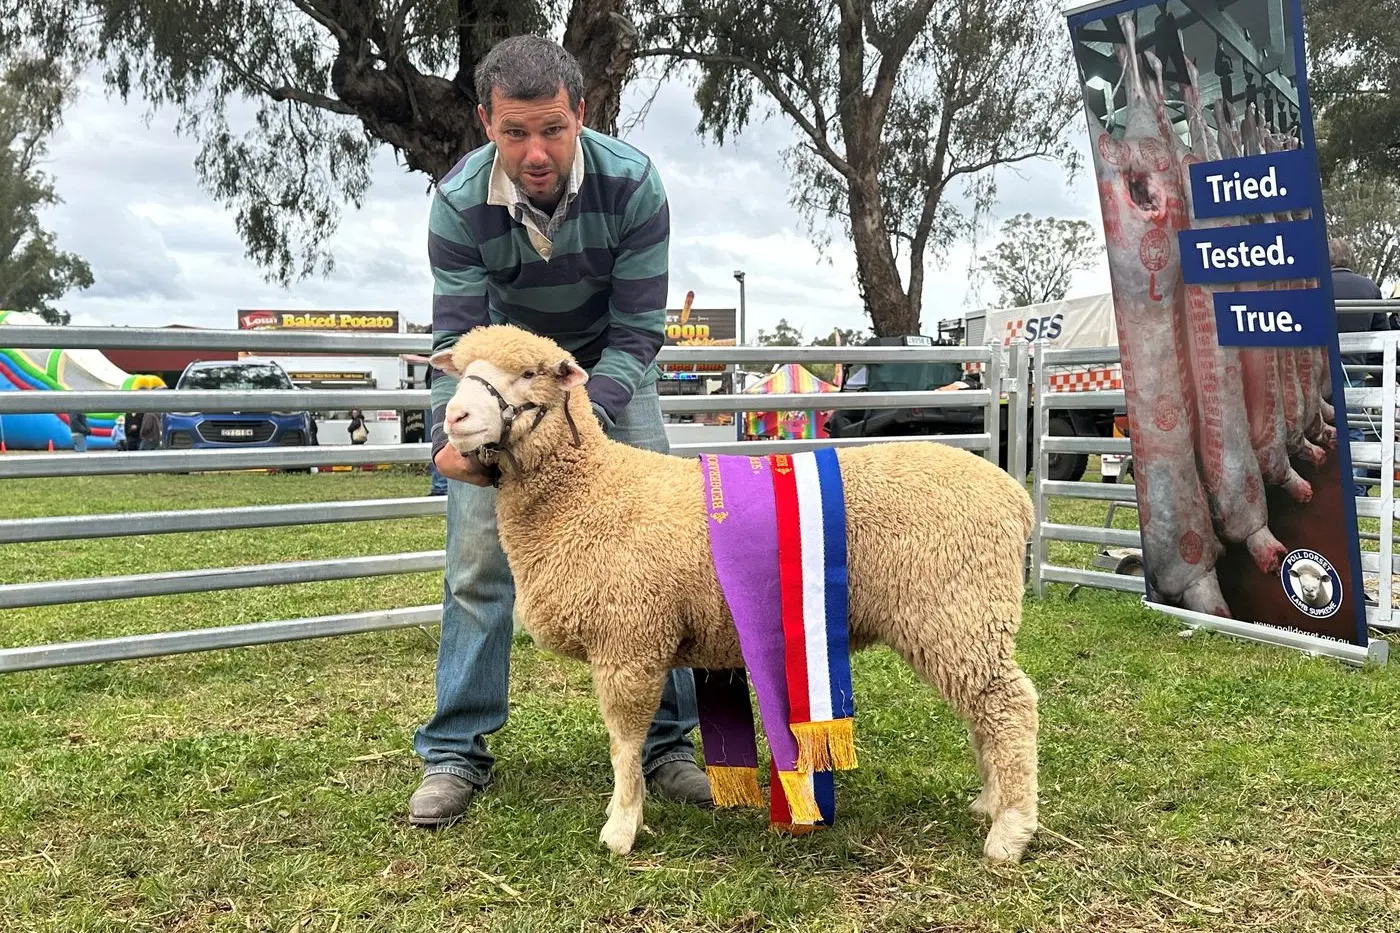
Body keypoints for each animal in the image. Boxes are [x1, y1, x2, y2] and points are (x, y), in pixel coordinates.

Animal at [429, 324, 1040, 864]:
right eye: (461, 371)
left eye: (529, 373)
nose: (455, 418)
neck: (588, 490)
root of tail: (1015, 496)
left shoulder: (628, 639)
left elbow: (624, 744)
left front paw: (620, 828)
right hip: (959, 619)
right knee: (986, 712)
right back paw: (989, 805)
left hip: (958, 609)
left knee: (1008, 707)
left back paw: (1010, 831)